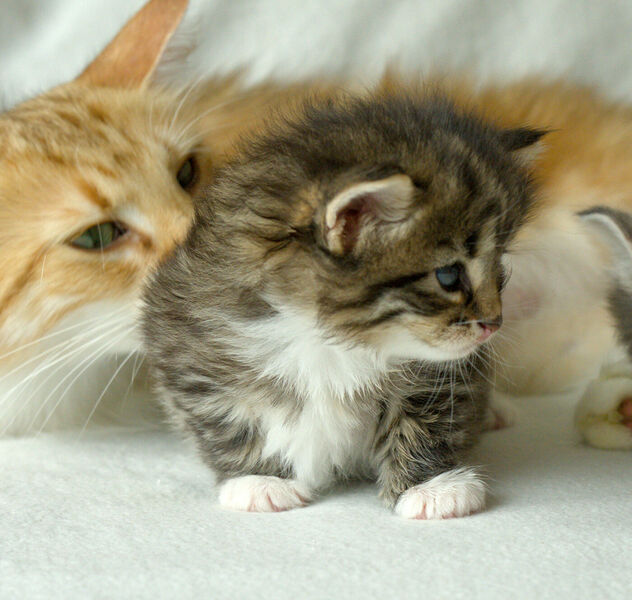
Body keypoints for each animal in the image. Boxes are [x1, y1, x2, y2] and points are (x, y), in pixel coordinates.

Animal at [142, 91, 544, 516]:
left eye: (498, 265)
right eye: (449, 276)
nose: (495, 323)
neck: (331, 340)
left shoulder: (443, 372)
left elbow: (428, 418)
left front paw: (432, 486)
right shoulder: (189, 352)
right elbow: (227, 422)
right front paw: (258, 479)